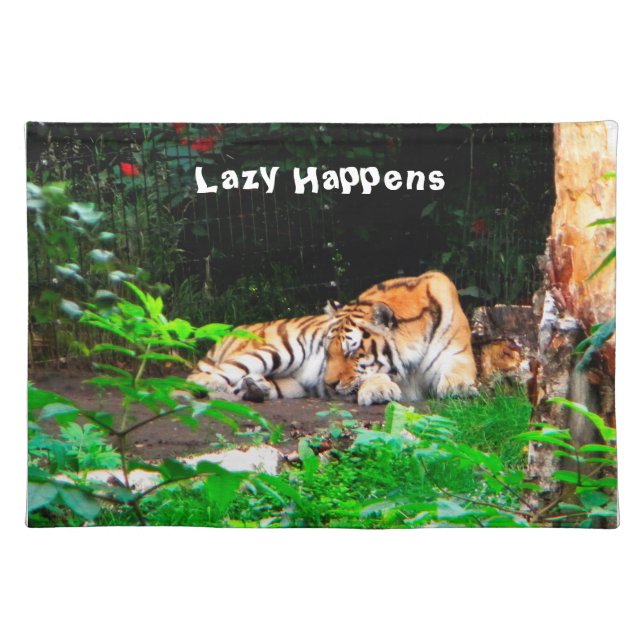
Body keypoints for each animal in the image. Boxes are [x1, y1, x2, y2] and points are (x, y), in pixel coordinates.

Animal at [323, 271, 477, 406]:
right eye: (328, 352)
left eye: (352, 353)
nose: (329, 385)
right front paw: (377, 390)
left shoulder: (457, 353)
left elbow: (457, 370)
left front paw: (459, 387)